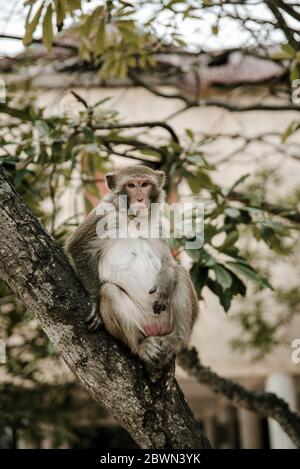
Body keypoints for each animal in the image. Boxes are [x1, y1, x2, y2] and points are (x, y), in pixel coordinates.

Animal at [66, 165, 199, 366]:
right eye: (131, 185)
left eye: (144, 184)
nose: (140, 198)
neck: (135, 220)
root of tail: (156, 329)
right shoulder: (103, 215)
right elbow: (77, 247)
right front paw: (95, 301)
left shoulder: (160, 225)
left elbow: (168, 261)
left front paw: (163, 285)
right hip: (140, 323)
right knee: (109, 291)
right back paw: (141, 345)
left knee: (180, 272)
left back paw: (176, 340)